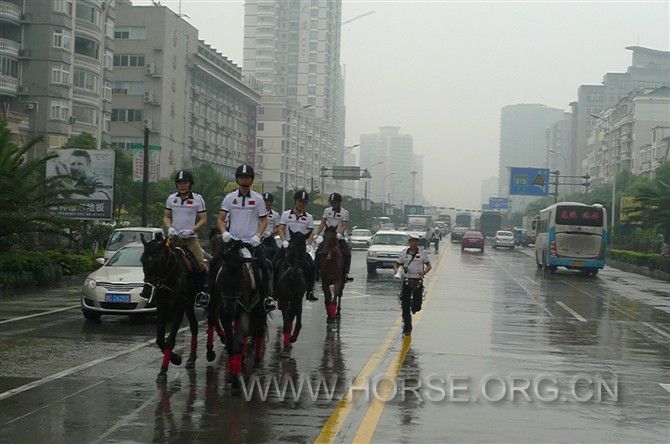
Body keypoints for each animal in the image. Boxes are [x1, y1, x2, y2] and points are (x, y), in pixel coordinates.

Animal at [138, 238, 197, 384]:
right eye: (142, 260)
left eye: (159, 261)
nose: (146, 291)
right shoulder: (162, 306)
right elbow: (160, 339)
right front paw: (175, 358)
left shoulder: (180, 306)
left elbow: (170, 339)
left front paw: (165, 368)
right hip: (189, 305)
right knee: (194, 326)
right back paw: (191, 359)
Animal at [214, 239, 270, 396]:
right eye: (222, 277)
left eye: (241, 279)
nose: (228, 309)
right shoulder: (224, 316)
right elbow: (231, 344)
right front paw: (233, 375)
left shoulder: (244, 313)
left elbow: (238, 343)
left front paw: (235, 383)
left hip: (259, 310)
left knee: (259, 330)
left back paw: (256, 360)